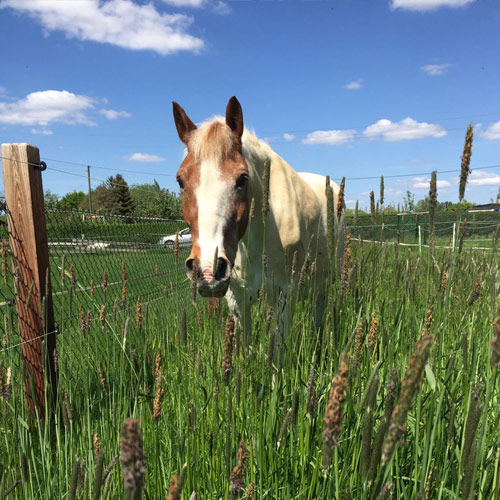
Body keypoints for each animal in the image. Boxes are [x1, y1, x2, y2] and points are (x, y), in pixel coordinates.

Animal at [173, 96, 344, 340]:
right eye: (180, 180)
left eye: (242, 179)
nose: (207, 269)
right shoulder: (237, 301)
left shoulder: (283, 297)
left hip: (324, 284)